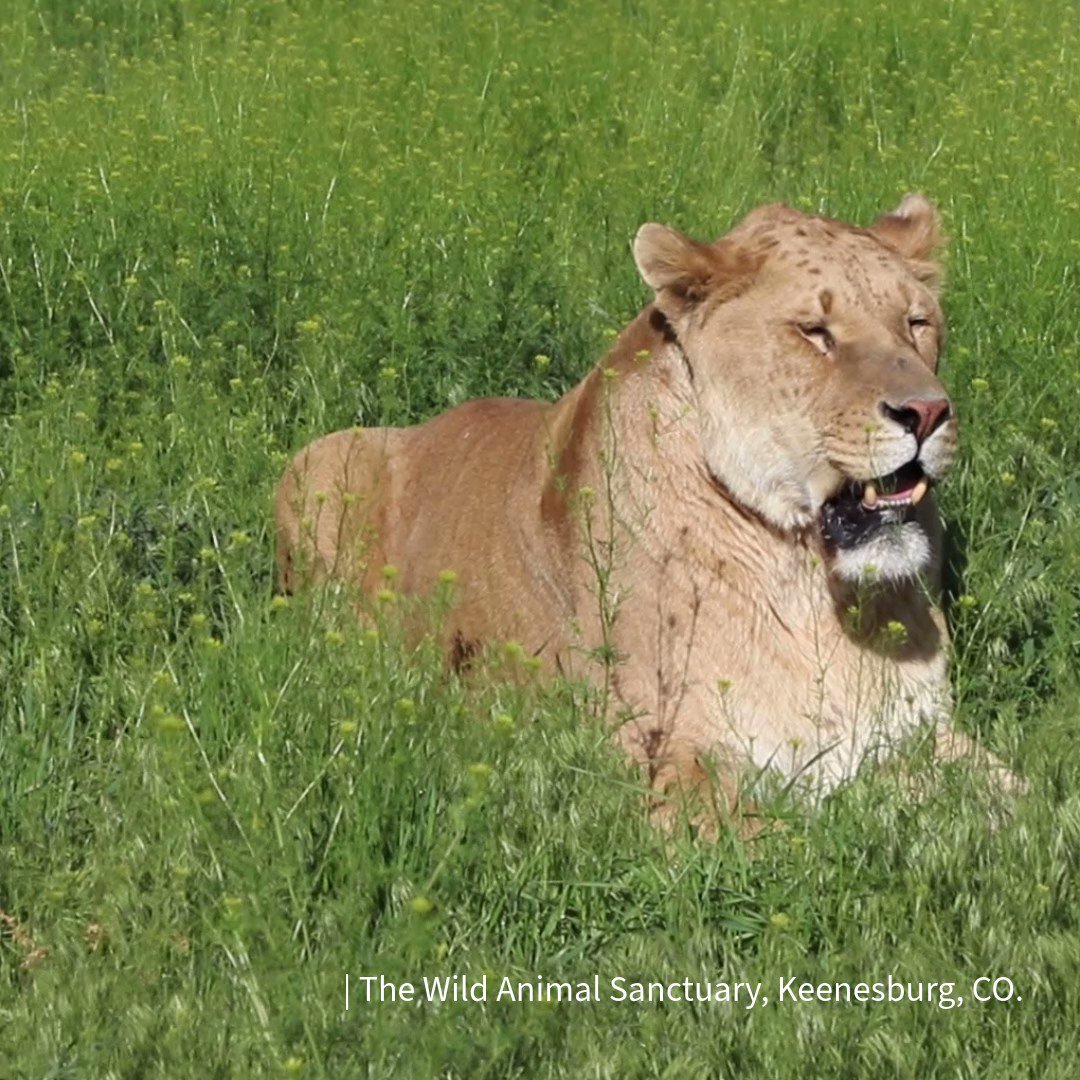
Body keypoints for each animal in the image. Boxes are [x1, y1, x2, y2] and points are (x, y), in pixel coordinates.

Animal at [276, 196, 1019, 833]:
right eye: (815, 332)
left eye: (916, 324)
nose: (927, 412)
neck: (813, 582)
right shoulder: (656, 762)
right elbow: (791, 842)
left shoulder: (926, 732)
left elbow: (1026, 806)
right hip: (320, 461)